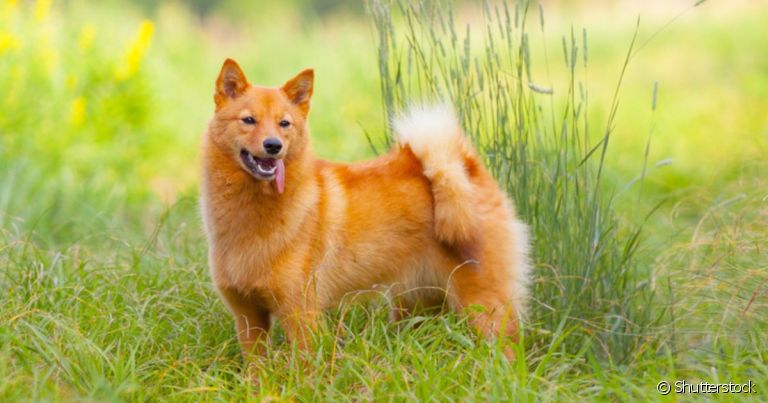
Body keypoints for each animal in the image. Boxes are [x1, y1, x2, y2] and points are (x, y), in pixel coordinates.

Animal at [200, 58, 530, 361]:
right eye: (248, 120)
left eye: (284, 124)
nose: (273, 146)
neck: (252, 211)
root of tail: (465, 165)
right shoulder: (248, 317)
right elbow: (256, 371)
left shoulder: (300, 313)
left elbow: (304, 370)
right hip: (416, 305)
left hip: (484, 307)